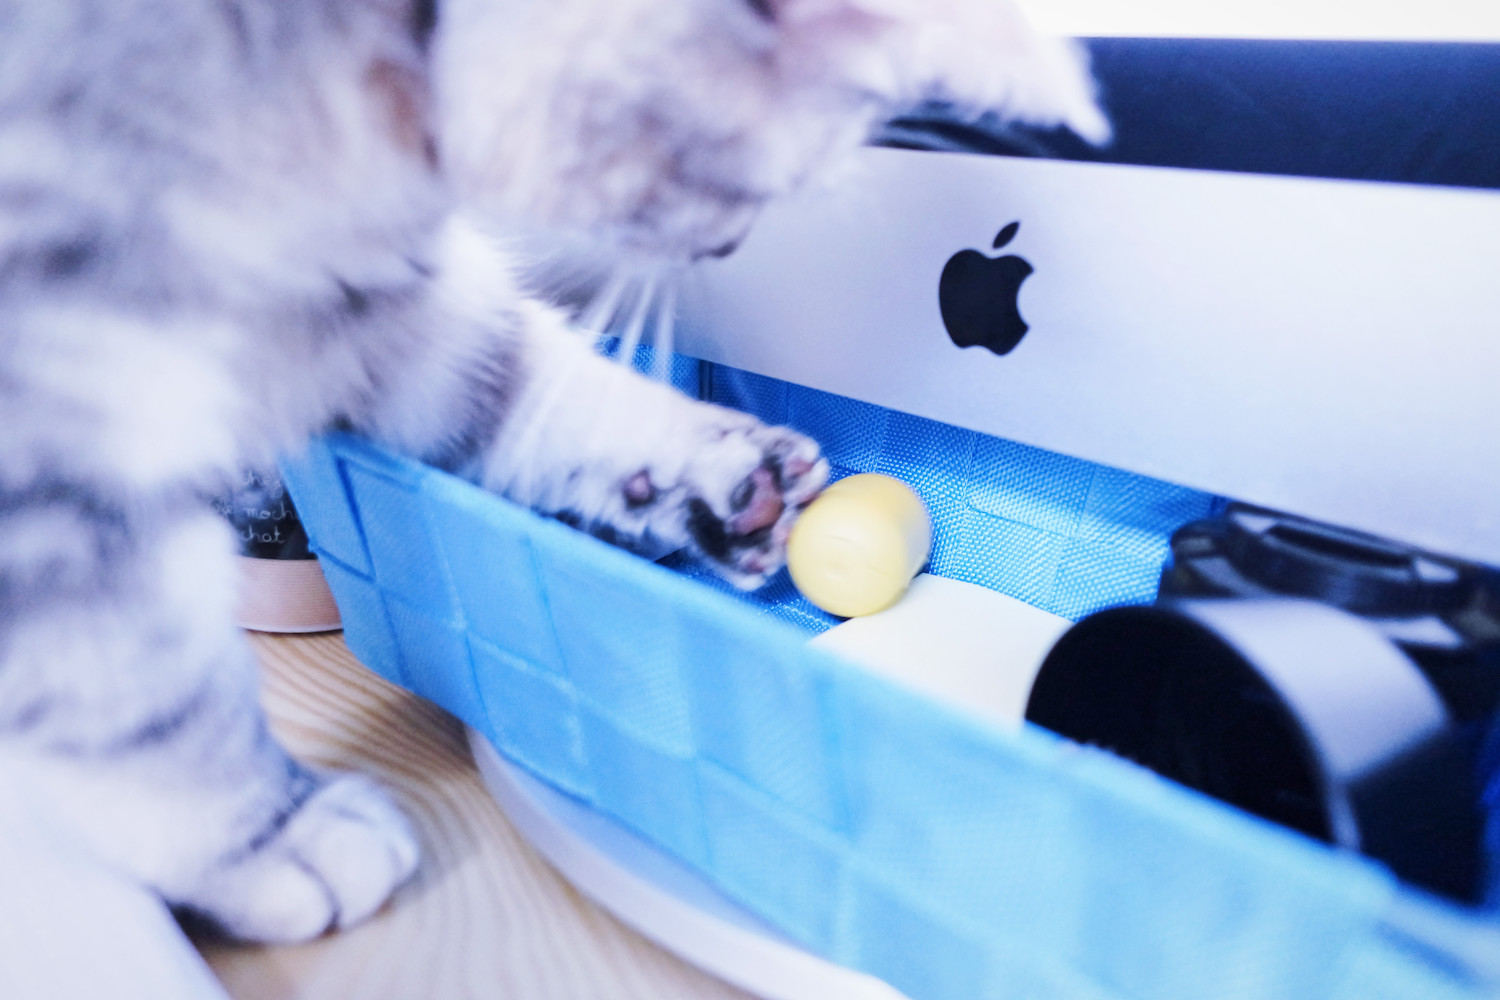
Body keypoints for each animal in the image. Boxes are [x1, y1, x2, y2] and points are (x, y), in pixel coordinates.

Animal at [0, 0, 1104, 947]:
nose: (735, 246)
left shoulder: (386, 303)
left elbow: (544, 385)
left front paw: (720, 477)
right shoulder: (57, 441)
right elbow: (148, 703)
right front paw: (272, 839)